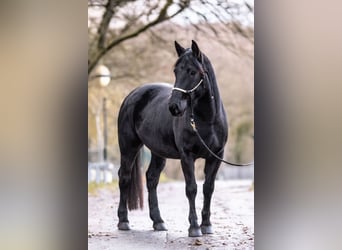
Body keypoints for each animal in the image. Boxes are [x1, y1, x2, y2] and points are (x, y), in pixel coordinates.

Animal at [117, 40, 227, 237]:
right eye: (176, 71)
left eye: (192, 71)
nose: (174, 107)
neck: (207, 120)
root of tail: (132, 95)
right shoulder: (187, 156)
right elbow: (191, 188)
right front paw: (194, 227)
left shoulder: (216, 157)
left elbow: (208, 188)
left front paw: (207, 225)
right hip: (128, 147)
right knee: (124, 177)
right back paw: (123, 221)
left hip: (158, 152)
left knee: (151, 179)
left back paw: (158, 222)